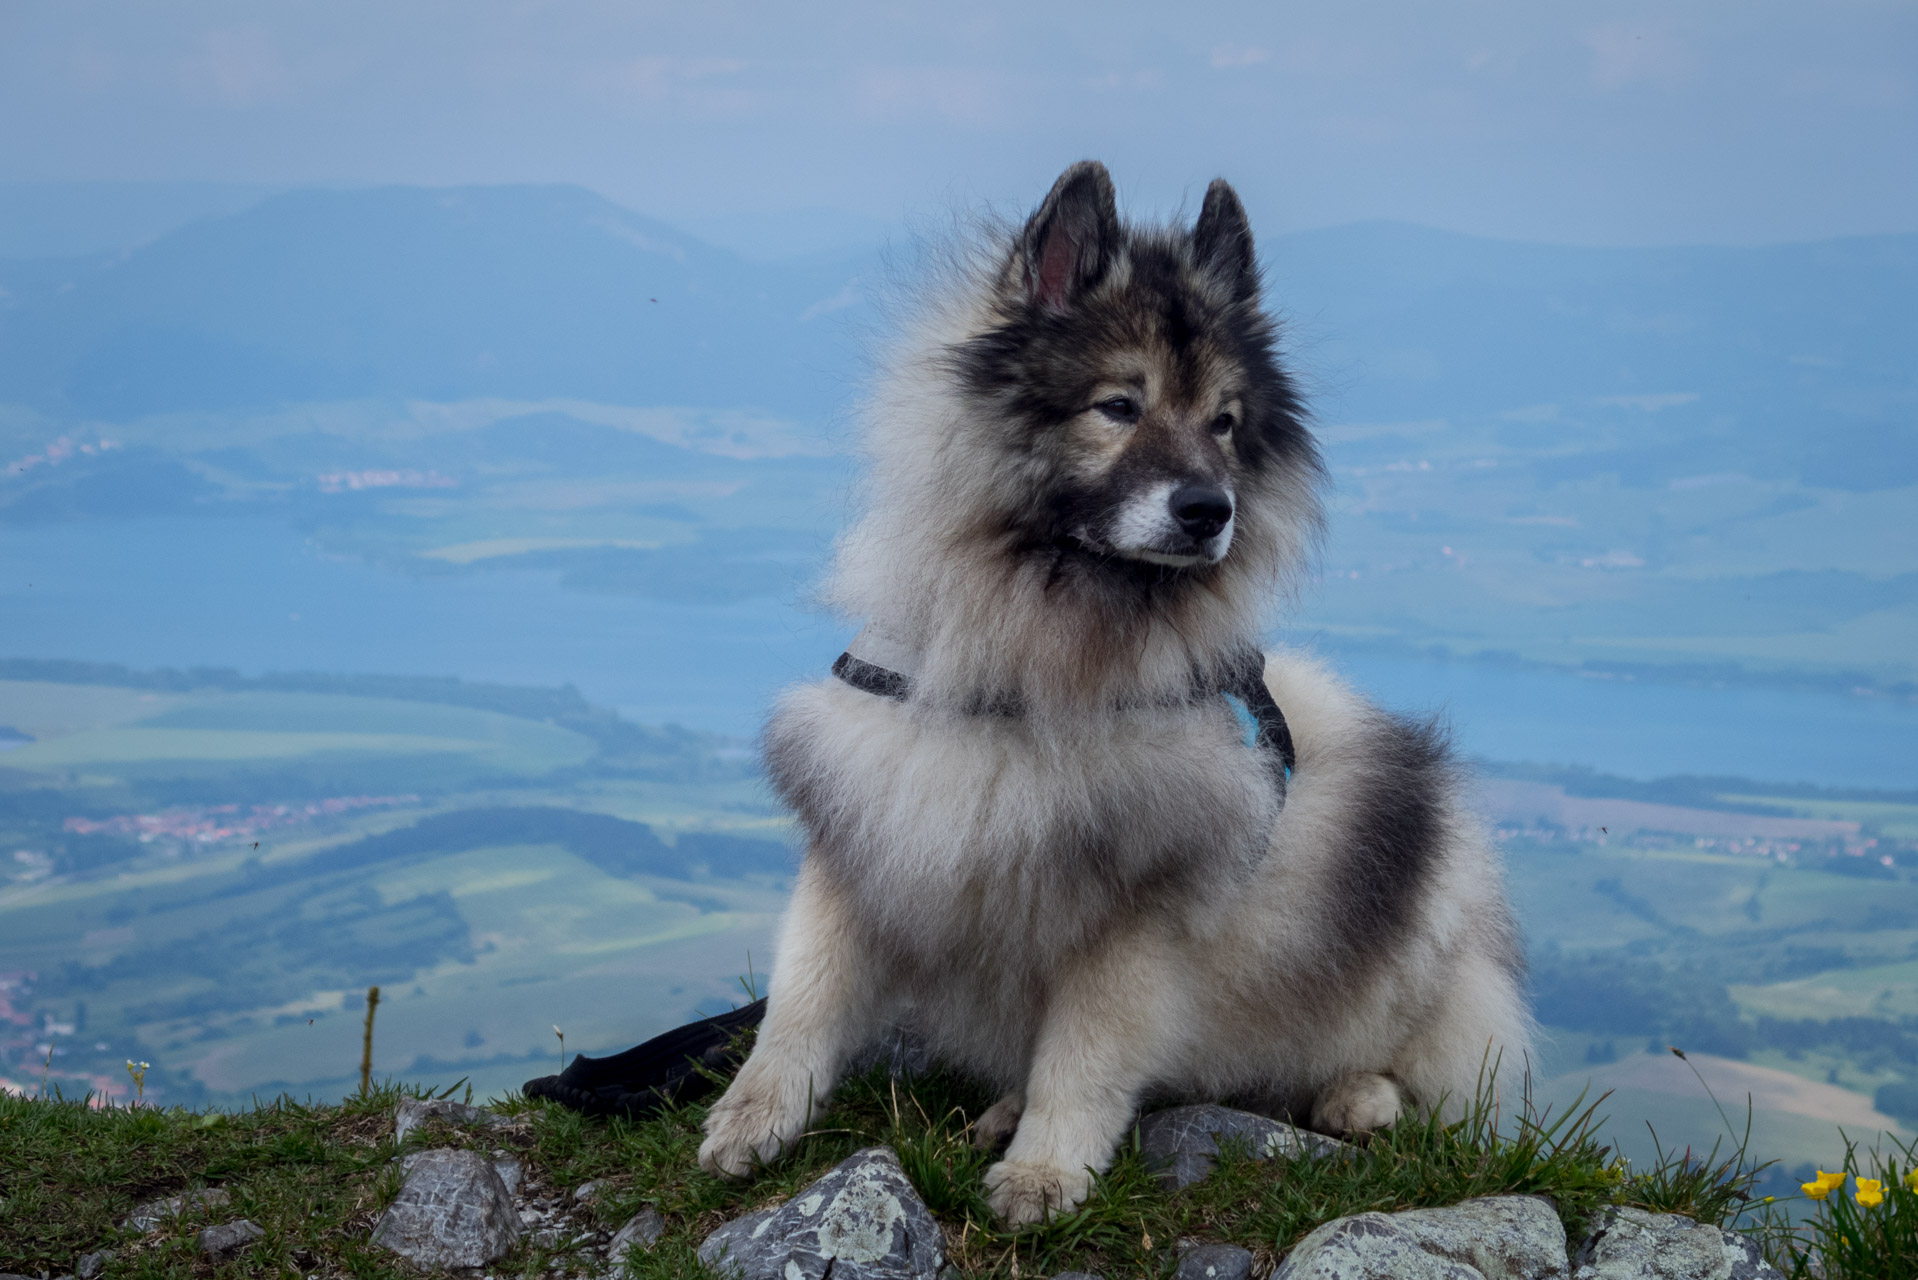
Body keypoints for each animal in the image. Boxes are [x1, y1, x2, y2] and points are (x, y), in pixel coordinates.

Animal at [698, 165, 1534, 1228]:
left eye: (1224, 422)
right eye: (1119, 406)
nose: (1209, 510)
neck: (1030, 672)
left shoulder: (1136, 915)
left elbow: (1086, 1057)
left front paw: (1046, 1173)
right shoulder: (866, 829)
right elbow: (800, 1005)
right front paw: (753, 1119)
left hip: (1425, 898)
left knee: (1431, 1076)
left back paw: (1356, 1096)